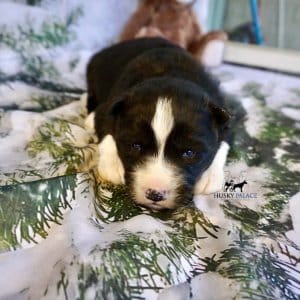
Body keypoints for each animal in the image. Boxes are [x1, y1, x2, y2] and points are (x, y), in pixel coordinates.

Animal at [85, 37, 231, 210]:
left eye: (189, 153)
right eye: (135, 146)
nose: (155, 194)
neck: (169, 73)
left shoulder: (224, 111)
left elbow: (223, 141)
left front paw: (210, 176)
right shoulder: (109, 106)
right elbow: (107, 128)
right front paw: (113, 165)